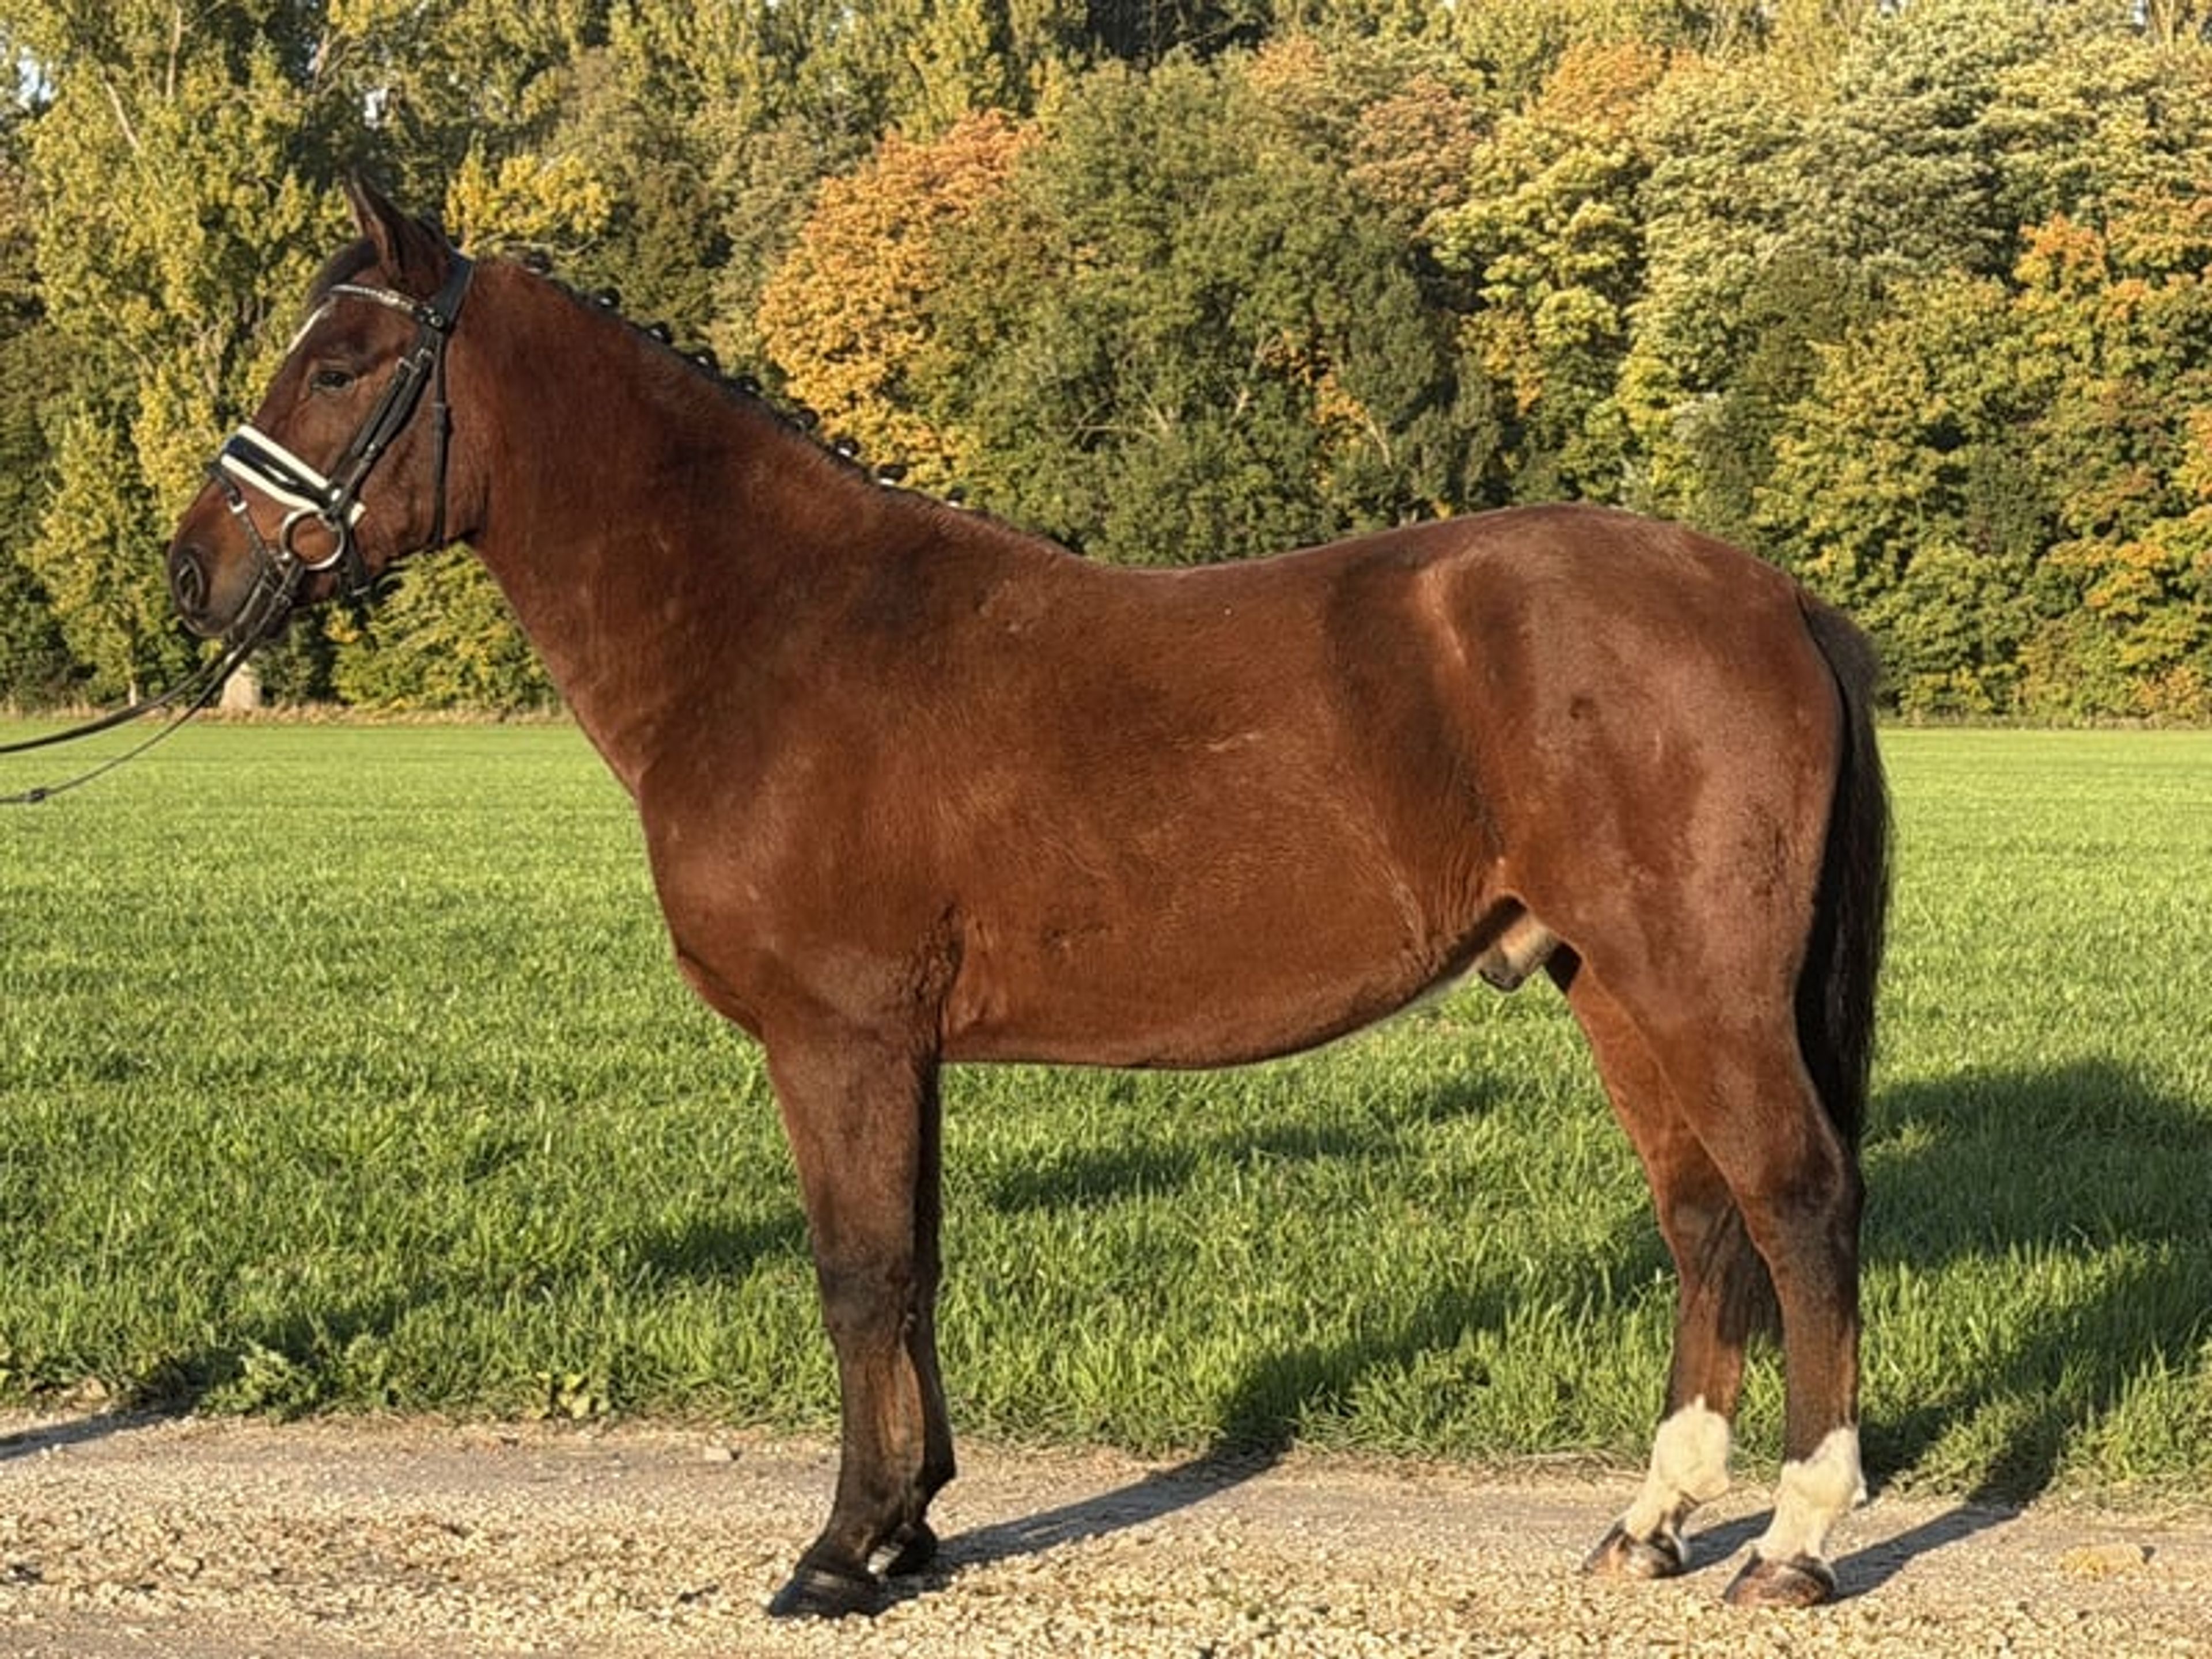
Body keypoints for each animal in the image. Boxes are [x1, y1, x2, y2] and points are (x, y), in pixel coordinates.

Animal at [165, 179, 1889, 1619]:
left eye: (342, 365)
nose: (192, 574)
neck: (771, 630)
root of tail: (1770, 596)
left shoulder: (836, 1037)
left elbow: (858, 1273)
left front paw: (840, 1552)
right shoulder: (895, 1048)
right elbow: (914, 1264)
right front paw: (911, 1523)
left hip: (1699, 990)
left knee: (1796, 1205)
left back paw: (1796, 1542)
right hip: (1613, 986)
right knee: (1701, 1221)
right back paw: (1651, 1524)